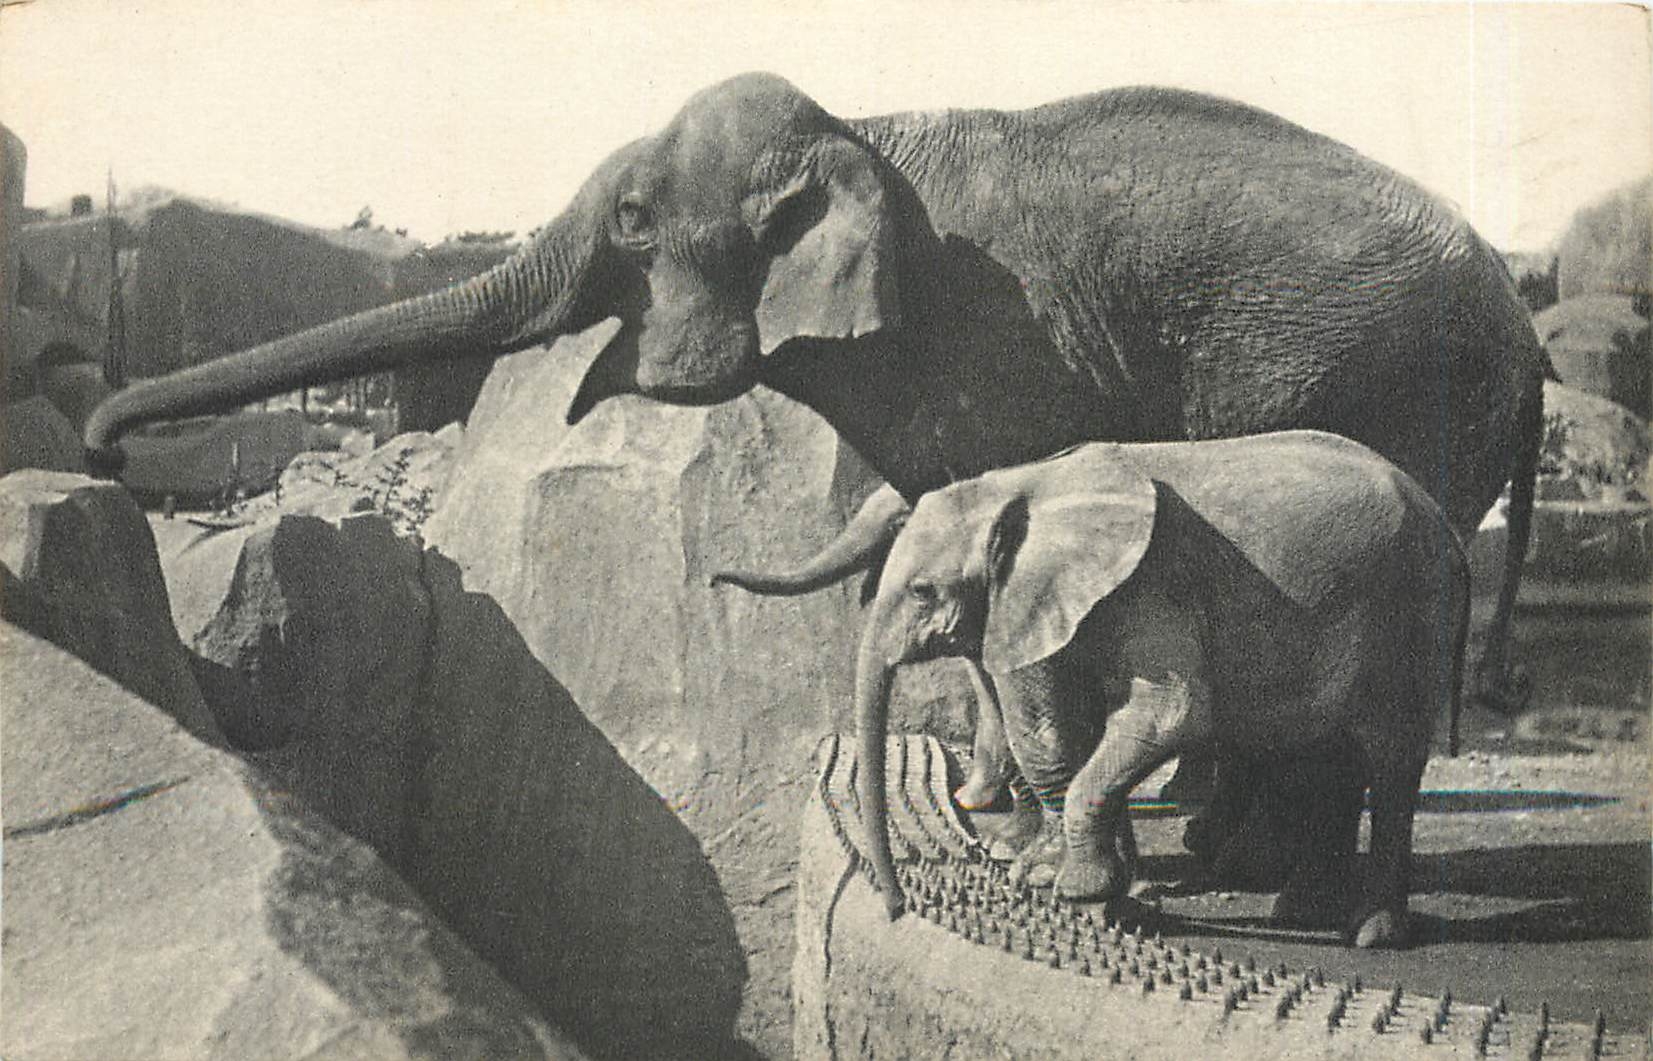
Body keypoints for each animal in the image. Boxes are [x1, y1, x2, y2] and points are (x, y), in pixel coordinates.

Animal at [847, 431, 1470, 949]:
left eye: (923, 591)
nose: (896, 909)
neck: (1021, 484)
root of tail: (1447, 525)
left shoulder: (1151, 585)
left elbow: (1172, 714)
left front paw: (1080, 891)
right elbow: (1061, 735)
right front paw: (1098, 892)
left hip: (1410, 614)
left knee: (1388, 765)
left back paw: (1369, 934)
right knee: (1326, 758)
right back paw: (1301, 914)